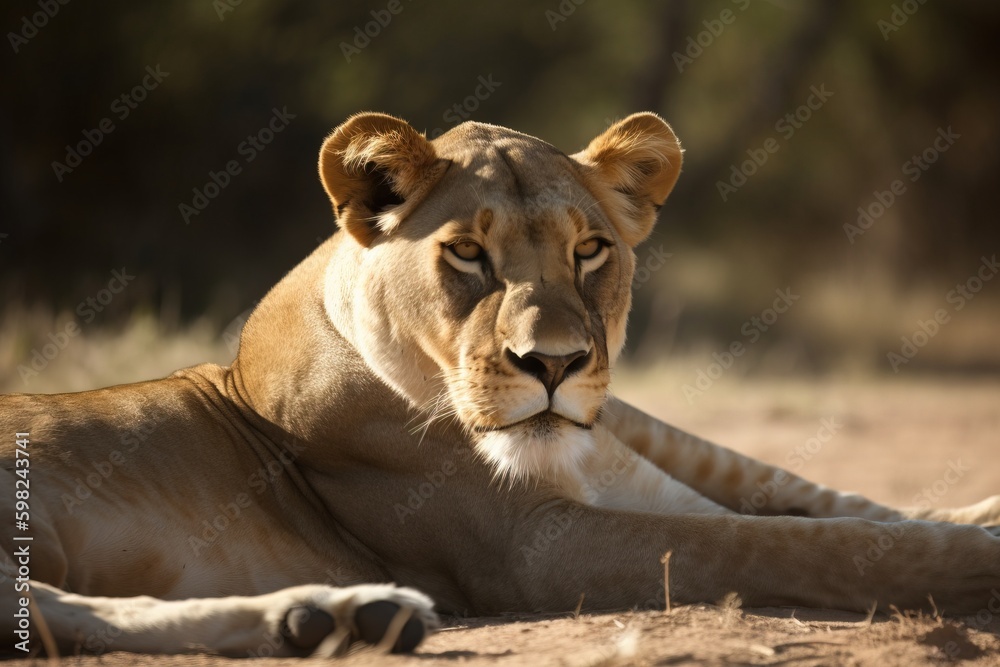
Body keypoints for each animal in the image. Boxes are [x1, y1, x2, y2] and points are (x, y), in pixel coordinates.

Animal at [2, 112, 999, 658]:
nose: (552, 364)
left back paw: (340, 619)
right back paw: (341, 616)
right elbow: (804, 545)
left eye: (590, 248)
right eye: (467, 254)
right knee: (50, 612)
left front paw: (973, 518)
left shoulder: (651, 470)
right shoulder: (529, 550)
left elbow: (830, 510)